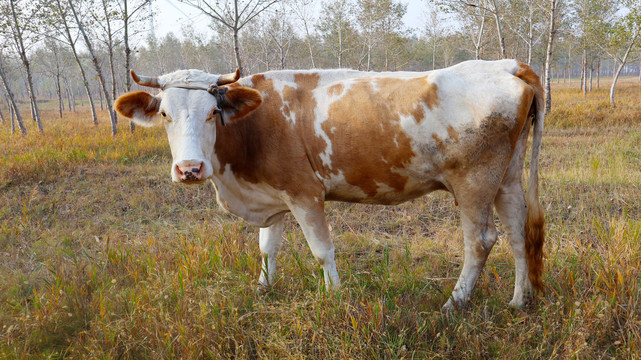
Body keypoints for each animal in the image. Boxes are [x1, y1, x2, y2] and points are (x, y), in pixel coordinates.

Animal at [115, 59, 544, 310]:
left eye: (211, 112)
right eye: (165, 114)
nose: (189, 169)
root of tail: (505, 65)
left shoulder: (304, 194)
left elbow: (322, 250)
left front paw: (334, 296)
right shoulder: (274, 195)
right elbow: (267, 248)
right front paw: (263, 289)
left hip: (474, 181)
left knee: (481, 241)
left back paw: (453, 304)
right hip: (506, 178)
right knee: (517, 232)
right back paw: (519, 301)